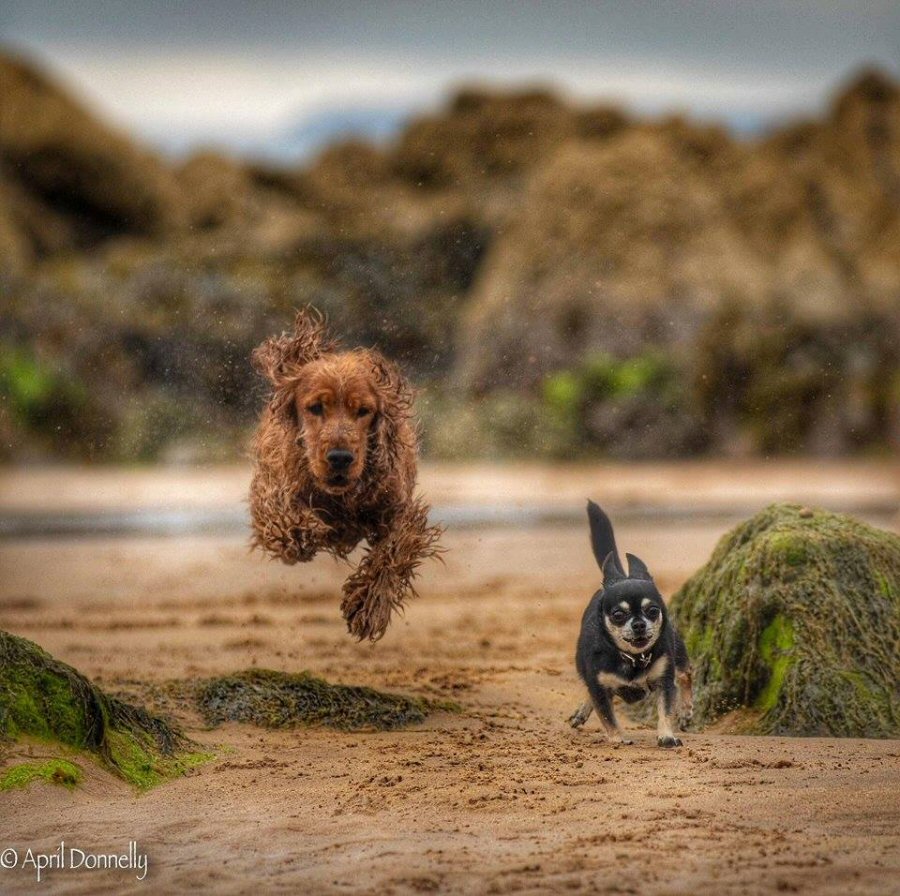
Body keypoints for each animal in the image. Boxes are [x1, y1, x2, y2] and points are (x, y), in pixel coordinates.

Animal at [246, 312, 442, 640]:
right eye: (315, 407)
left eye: (363, 410)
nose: (340, 458)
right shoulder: (270, 494)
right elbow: (286, 520)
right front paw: (306, 530)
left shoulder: (398, 508)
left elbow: (395, 550)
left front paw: (367, 606)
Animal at [572, 500, 692, 744]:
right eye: (618, 615)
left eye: (653, 611)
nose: (638, 624)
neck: (633, 658)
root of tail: (621, 575)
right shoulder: (598, 686)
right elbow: (607, 716)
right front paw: (618, 738)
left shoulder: (665, 681)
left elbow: (666, 710)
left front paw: (667, 736)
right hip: (583, 667)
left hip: (679, 654)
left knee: (686, 675)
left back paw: (686, 711)